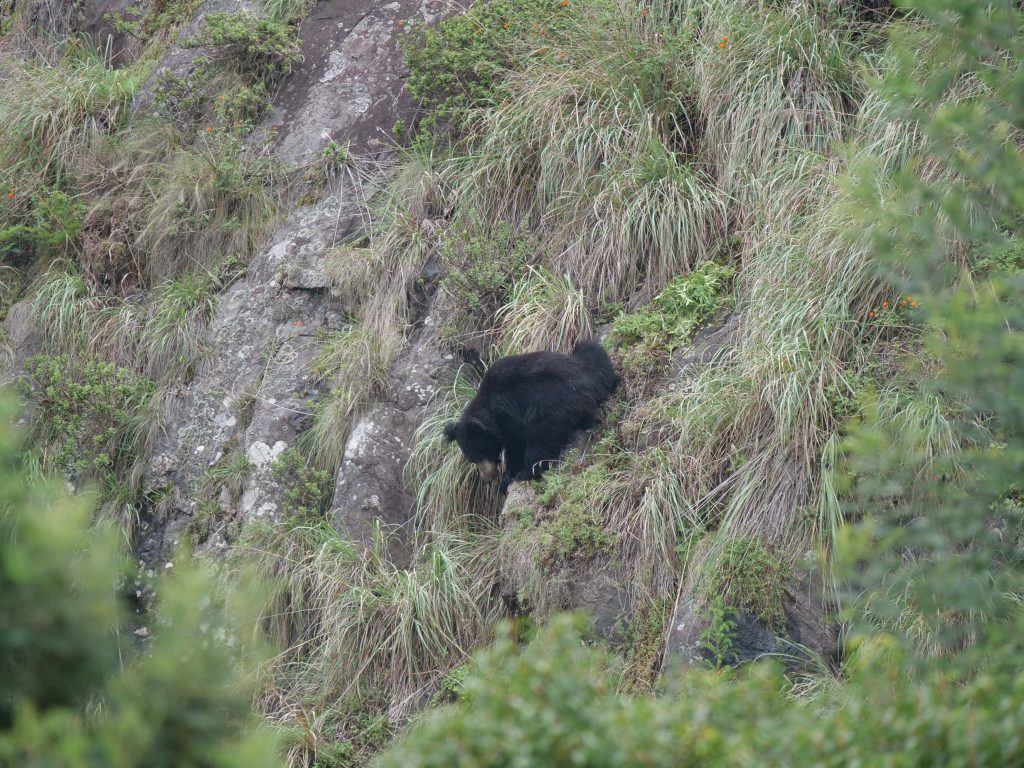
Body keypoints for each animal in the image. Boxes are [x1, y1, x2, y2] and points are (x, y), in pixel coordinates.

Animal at [442, 342, 614, 493]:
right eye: (471, 459)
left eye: (479, 454)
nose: (487, 478)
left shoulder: (511, 411)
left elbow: (517, 444)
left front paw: (507, 478)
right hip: (595, 361)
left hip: (555, 399)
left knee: (542, 433)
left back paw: (527, 472)